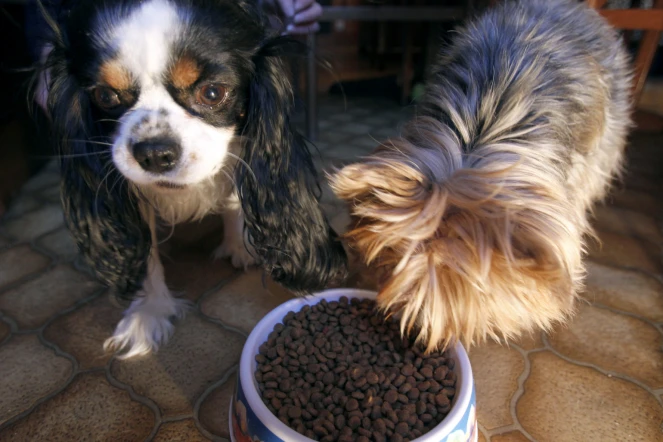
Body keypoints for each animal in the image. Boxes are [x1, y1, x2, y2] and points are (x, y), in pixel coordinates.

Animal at [32, 0, 348, 360]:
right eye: (106, 97)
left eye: (212, 92)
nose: (154, 153)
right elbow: (147, 255)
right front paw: (149, 312)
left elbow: (233, 197)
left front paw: (238, 245)